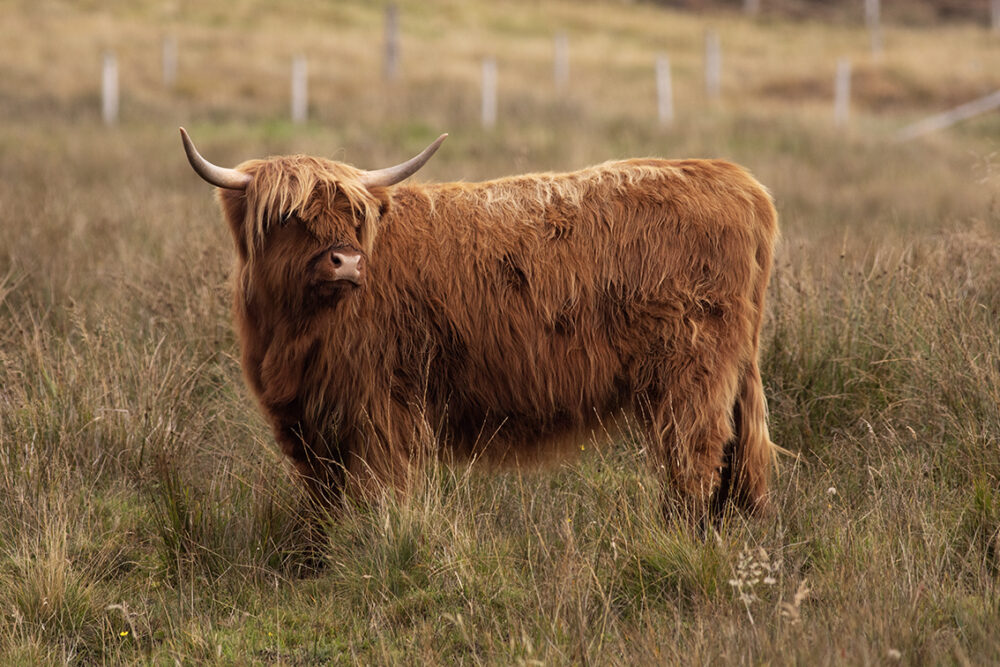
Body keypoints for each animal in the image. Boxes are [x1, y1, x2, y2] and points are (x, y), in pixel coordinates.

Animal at [182, 128, 780, 520]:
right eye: (289, 217)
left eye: (354, 216)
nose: (347, 262)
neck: (293, 331)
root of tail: (736, 180)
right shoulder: (307, 420)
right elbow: (321, 500)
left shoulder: (381, 406)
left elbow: (379, 489)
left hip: (691, 375)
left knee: (695, 458)